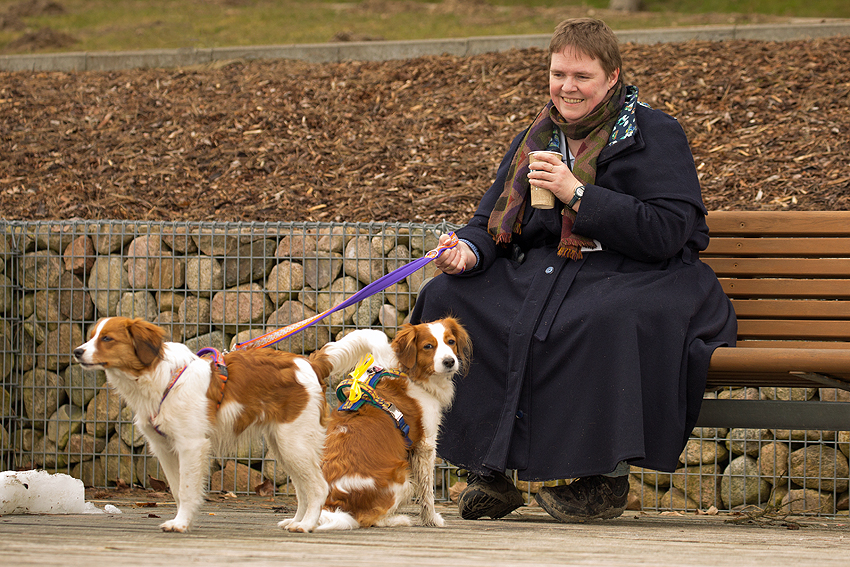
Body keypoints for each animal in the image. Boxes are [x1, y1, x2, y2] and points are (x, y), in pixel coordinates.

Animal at [71, 318, 330, 536]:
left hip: (293, 443)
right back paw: (296, 521)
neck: (161, 378)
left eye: (107, 338)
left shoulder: (191, 444)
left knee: (319, 487)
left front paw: (180, 524)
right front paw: (184, 521)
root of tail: (309, 363)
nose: (77, 352)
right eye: (92, 336)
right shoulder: (164, 448)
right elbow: (177, 490)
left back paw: (306, 525)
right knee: (302, 488)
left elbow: (186, 488)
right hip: (283, 446)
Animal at [300, 318, 470, 532]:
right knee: (368, 519)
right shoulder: (426, 444)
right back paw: (398, 519)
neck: (411, 375)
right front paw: (431, 520)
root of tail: (332, 505)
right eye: (428, 346)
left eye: (451, 341)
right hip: (403, 478)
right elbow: (427, 492)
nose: (449, 361)